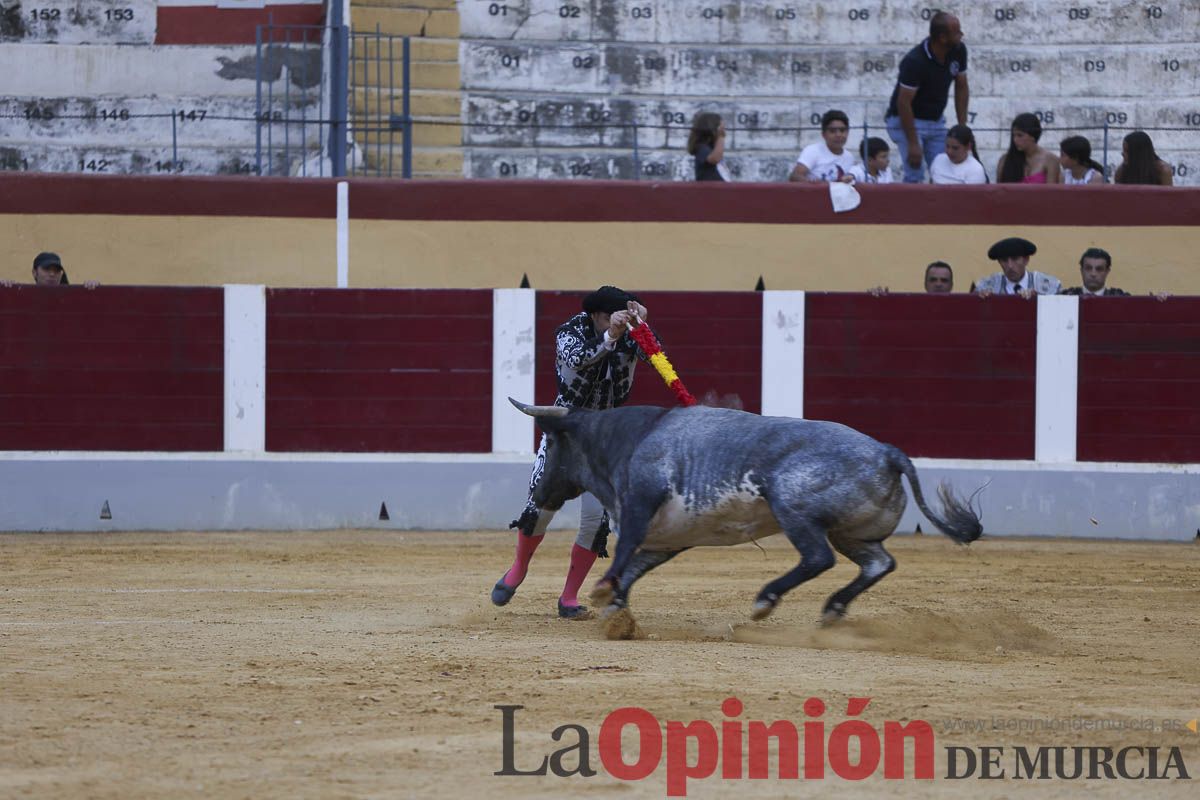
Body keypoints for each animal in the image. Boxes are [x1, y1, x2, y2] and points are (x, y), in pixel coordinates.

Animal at [511, 398, 979, 638]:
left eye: (550, 443)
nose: (537, 493)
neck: (622, 439)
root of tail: (887, 451)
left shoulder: (641, 504)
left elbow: (623, 553)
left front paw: (603, 594)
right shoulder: (668, 538)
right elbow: (633, 568)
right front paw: (615, 609)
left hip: (792, 506)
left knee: (818, 558)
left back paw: (765, 601)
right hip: (853, 533)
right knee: (879, 563)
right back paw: (832, 609)